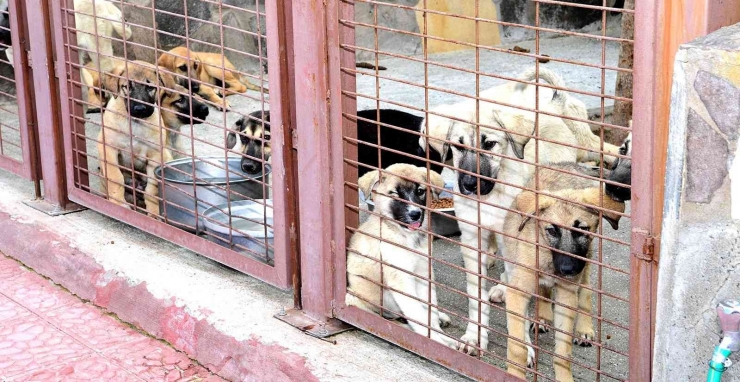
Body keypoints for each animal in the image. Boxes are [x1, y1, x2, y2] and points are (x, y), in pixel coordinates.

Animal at [97, 60, 177, 215]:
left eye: (150, 87)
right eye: (128, 87)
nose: (140, 109)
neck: (135, 124)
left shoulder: (155, 155)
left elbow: (152, 189)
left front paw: (154, 214)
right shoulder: (108, 147)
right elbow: (116, 177)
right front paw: (118, 204)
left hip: (166, 157)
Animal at [346, 164, 456, 350]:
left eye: (420, 191)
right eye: (394, 194)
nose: (415, 214)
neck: (407, 238)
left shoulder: (423, 273)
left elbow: (429, 311)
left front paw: (438, 333)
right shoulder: (401, 279)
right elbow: (418, 315)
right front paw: (437, 342)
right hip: (357, 299)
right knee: (396, 323)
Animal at [502, 163, 624, 380]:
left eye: (582, 229)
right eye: (552, 230)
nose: (567, 270)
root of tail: (569, 164)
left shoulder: (566, 296)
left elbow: (563, 352)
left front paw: (564, 377)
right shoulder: (517, 291)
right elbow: (517, 347)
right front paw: (515, 373)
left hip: (586, 261)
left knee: (585, 289)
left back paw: (584, 328)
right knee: (543, 291)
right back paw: (543, 318)